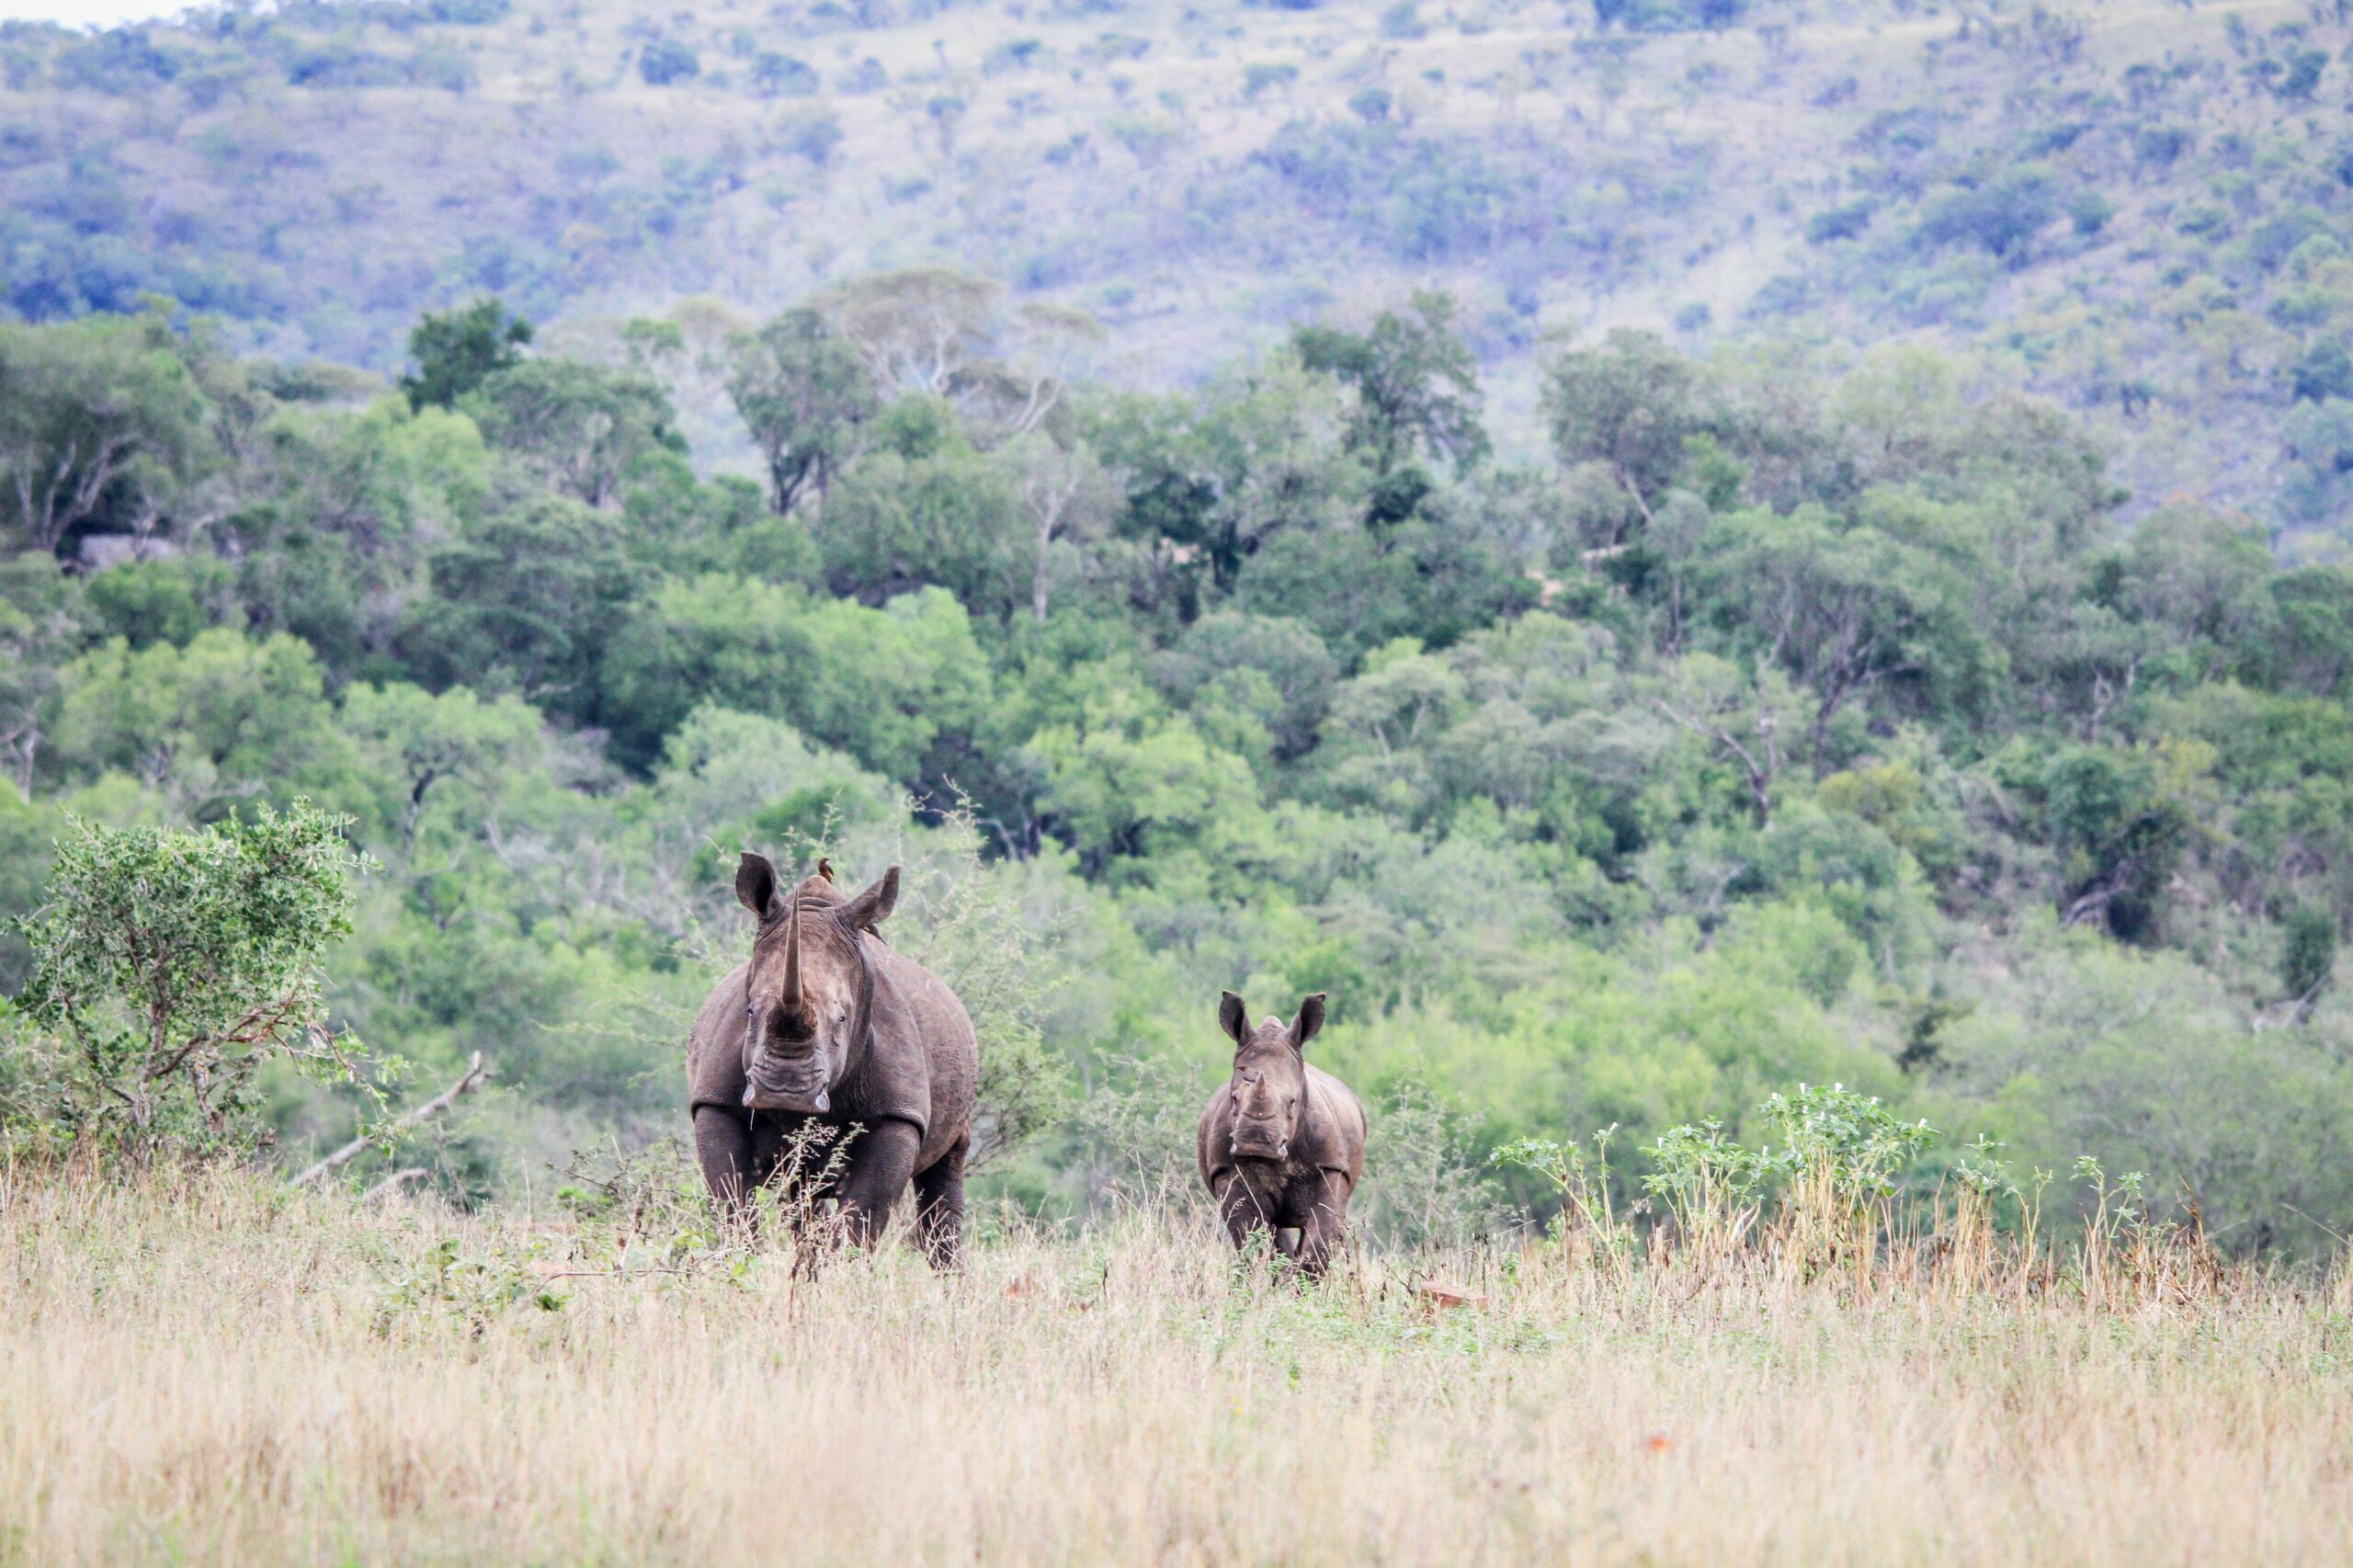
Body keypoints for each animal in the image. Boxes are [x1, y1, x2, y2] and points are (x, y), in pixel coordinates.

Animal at [687, 847, 978, 1261]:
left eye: (842, 1019)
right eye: (750, 1012)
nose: (785, 1091)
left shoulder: (898, 1115)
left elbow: (864, 1218)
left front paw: (845, 1272)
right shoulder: (714, 1101)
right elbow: (732, 1202)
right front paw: (741, 1265)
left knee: (946, 1170)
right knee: (800, 1194)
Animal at [1204, 988, 1374, 1271]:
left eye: (1292, 1102)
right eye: (1234, 1099)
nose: (1256, 1142)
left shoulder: (1331, 1167)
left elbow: (1321, 1240)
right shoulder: (1226, 1171)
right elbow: (1252, 1239)